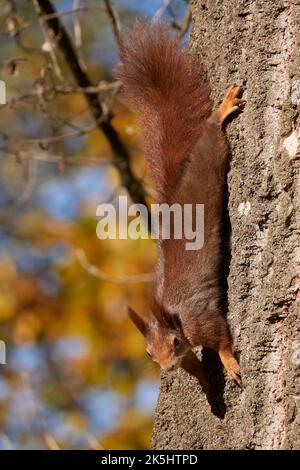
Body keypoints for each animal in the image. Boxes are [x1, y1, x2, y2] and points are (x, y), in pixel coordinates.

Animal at [116, 20, 245, 398]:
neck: (173, 318)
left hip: (209, 162)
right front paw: (207, 390)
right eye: (148, 353)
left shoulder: (201, 321)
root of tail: (174, 194)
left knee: (213, 136)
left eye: (173, 343)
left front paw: (229, 363)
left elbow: (221, 338)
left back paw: (222, 111)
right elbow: (197, 368)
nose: (166, 367)